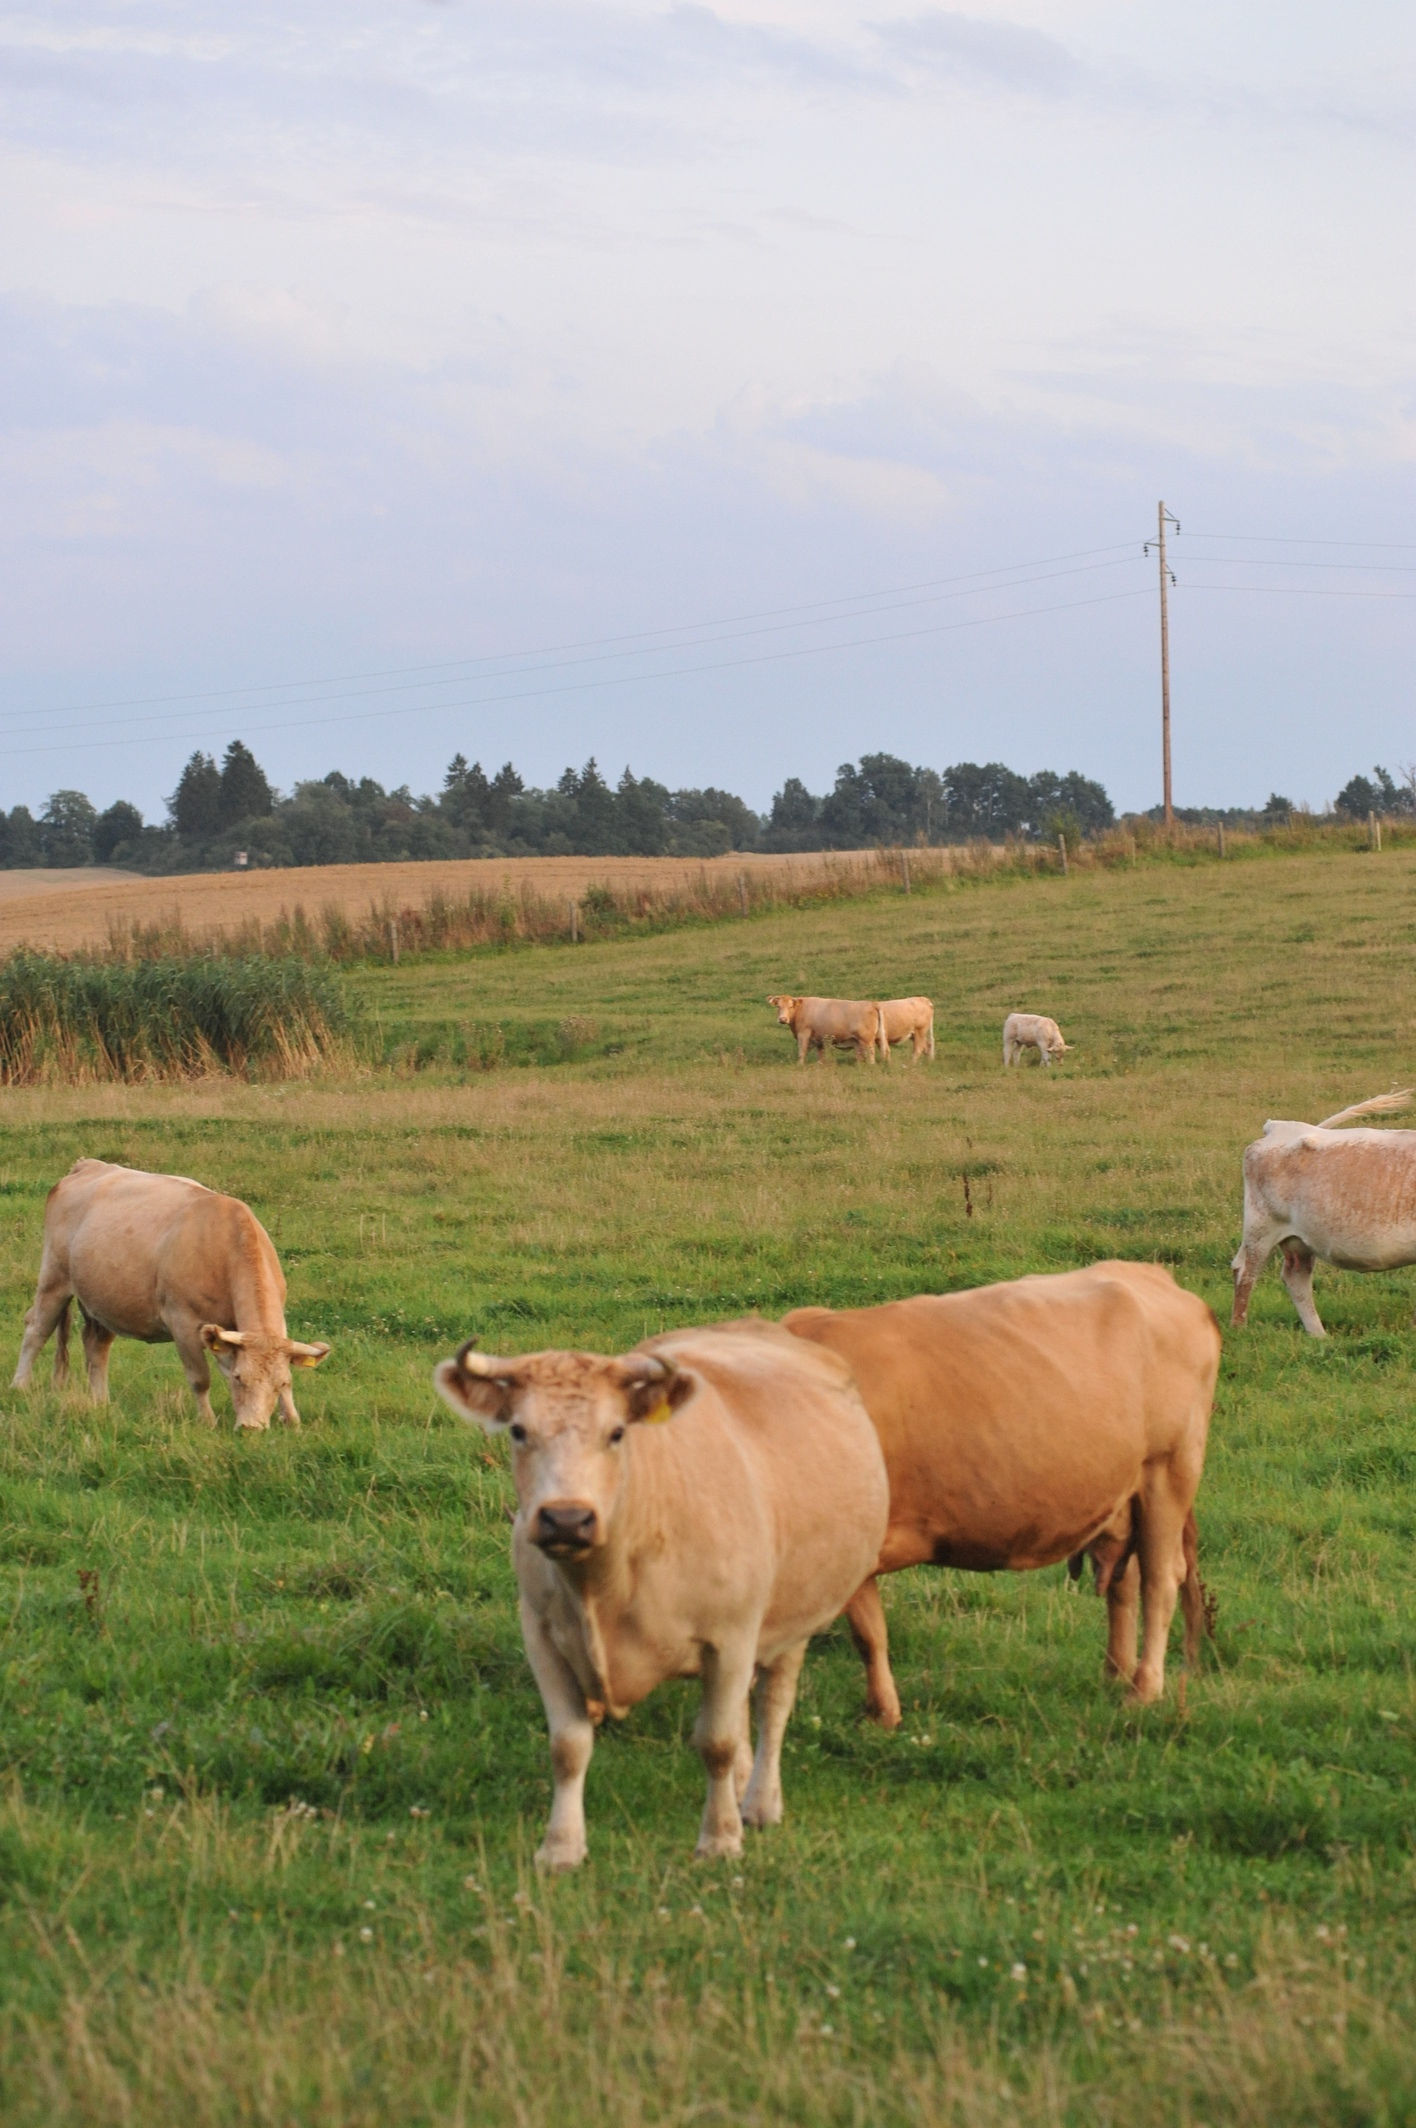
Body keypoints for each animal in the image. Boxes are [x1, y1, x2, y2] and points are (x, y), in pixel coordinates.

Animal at [11, 1159, 330, 1429]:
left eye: (282, 1384)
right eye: (241, 1378)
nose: (251, 1428)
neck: (224, 1245)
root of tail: (88, 1164)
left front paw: (291, 1419)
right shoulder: (184, 1323)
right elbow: (200, 1378)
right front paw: (208, 1421)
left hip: (104, 1300)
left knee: (96, 1346)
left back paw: (101, 1402)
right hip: (54, 1279)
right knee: (37, 1329)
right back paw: (19, 1386)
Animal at [433, 1320, 888, 1870]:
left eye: (617, 1432)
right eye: (519, 1431)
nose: (567, 1518)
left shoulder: (731, 1637)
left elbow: (717, 1743)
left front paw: (719, 1839)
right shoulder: (542, 1638)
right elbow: (568, 1747)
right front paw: (561, 1847)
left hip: (794, 1617)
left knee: (772, 1706)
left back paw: (758, 1802)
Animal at [784, 1261, 1219, 1724]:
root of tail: (1147, 1273)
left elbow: (862, 1635)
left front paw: (881, 1713)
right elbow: (868, 1634)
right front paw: (881, 1714)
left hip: (1168, 1472)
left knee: (1160, 1580)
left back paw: (1143, 1688)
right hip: (1122, 1497)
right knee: (1125, 1580)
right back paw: (1114, 1673)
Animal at [1231, 1090, 1416, 1336]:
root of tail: (1279, 1127)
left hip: (1298, 1239)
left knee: (1295, 1277)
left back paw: (1319, 1335)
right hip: (1260, 1228)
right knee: (1245, 1273)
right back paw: (1238, 1328)